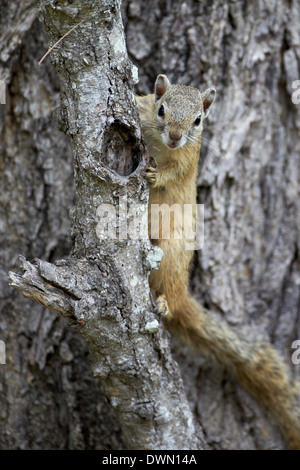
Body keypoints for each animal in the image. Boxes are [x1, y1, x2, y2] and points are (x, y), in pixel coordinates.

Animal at [137, 75, 300, 450]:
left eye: (198, 120)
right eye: (161, 108)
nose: (174, 136)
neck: (162, 144)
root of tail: (183, 292)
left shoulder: (188, 158)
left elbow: (174, 174)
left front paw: (155, 176)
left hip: (173, 256)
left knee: (168, 290)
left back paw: (165, 303)